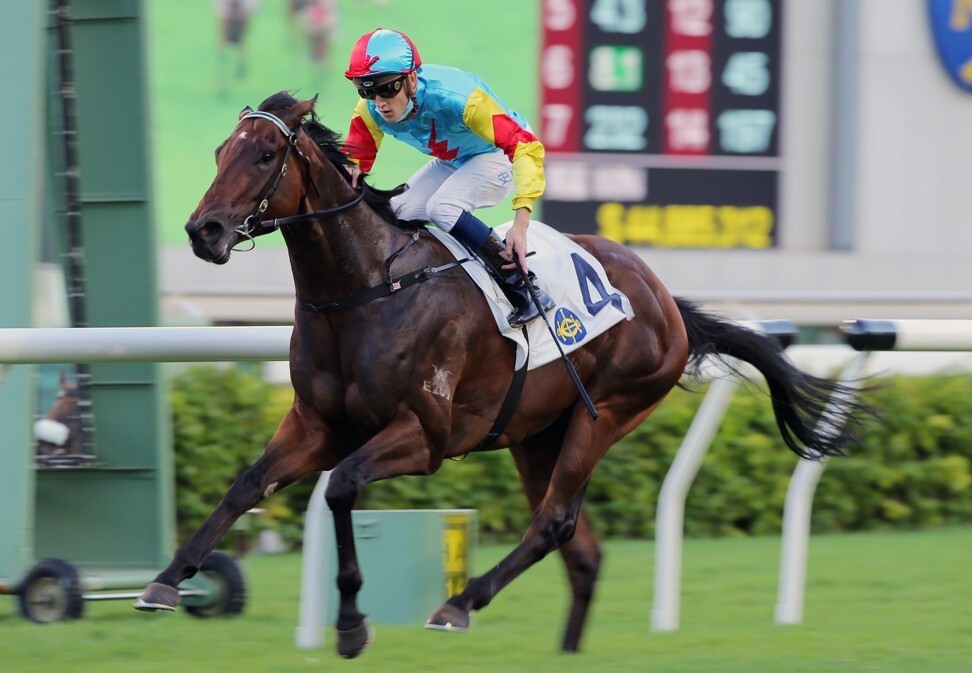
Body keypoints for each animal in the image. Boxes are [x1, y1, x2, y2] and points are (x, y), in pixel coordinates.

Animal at [135, 92, 864, 652]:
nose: (203, 230)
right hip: (536, 435)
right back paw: (563, 648)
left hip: (606, 414)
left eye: (264, 156)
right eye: (219, 152)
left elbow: (340, 488)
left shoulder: (423, 435)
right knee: (582, 551)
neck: (364, 288)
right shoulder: (316, 423)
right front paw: (168, 579)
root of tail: (666, 301)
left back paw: (460, 603)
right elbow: (247, 484)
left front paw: (350, 623)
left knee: (555, 523)